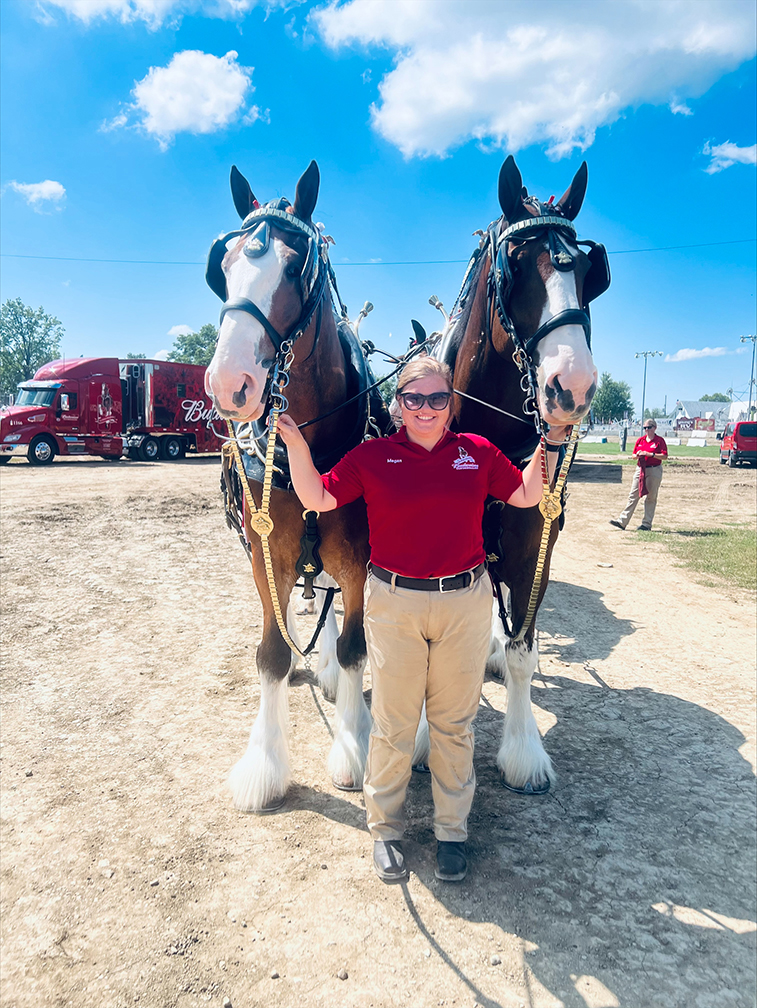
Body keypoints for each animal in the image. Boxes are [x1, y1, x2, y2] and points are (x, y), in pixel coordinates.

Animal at [204, 163, 381, 810]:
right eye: (224, 265)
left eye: (296, 267)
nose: (229, 381)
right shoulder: (266, 555)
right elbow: (272, 654)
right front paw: (264, 764)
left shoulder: (356, 558)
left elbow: (355, 648)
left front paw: (354, 747)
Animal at [431, 155, 608, 794]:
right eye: (515, 265)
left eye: (590, 271)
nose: (573, 386)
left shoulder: (534, 544)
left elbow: (523, 651)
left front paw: (524, 750)